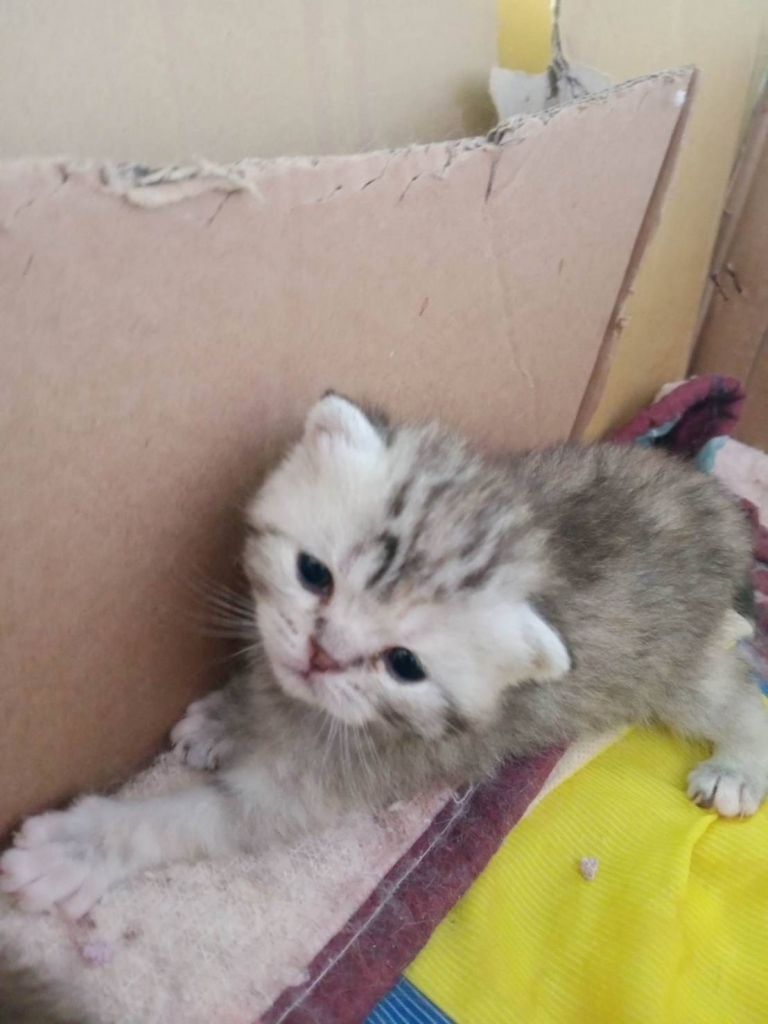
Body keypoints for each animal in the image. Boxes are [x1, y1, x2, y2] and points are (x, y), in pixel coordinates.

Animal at [2, 392, 767, 939]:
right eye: (313, 573)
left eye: (403, 664)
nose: (322, 656)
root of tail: (723, 513)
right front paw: (225, 715)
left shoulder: (313, 790)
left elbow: (186, 821)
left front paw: (74, 848)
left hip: (677, 665)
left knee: (739, 696)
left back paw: (734, 768)